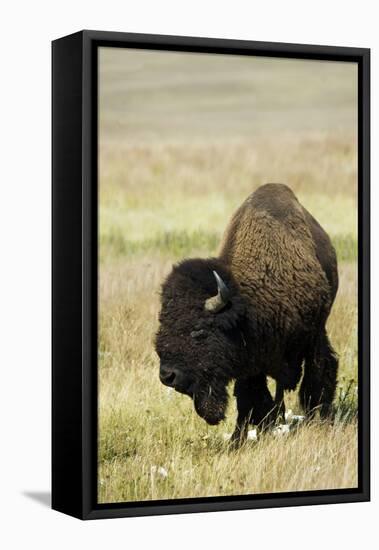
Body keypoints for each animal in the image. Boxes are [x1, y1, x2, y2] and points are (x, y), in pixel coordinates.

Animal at [156, 184, 340, 444]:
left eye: (199, 331)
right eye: (162, 324)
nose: (167, 376)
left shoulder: (313, 336)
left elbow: (317, 375)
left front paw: (319, 419)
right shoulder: (250, 361)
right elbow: (250, 398)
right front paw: (240, 438)